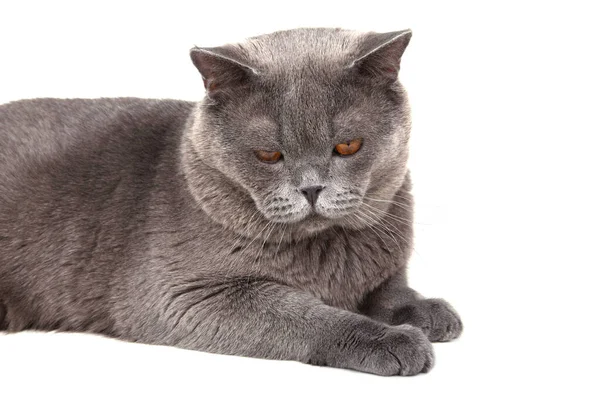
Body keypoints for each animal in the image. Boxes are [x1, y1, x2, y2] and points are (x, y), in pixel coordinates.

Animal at [0, 27, 464, 376]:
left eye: (348, 146)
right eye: (268, 155)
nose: (311, 189)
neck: (329, 255)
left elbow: (390, 288)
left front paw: (427, 311)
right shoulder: (188, 297)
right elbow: (308, 315)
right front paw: (393, 341)